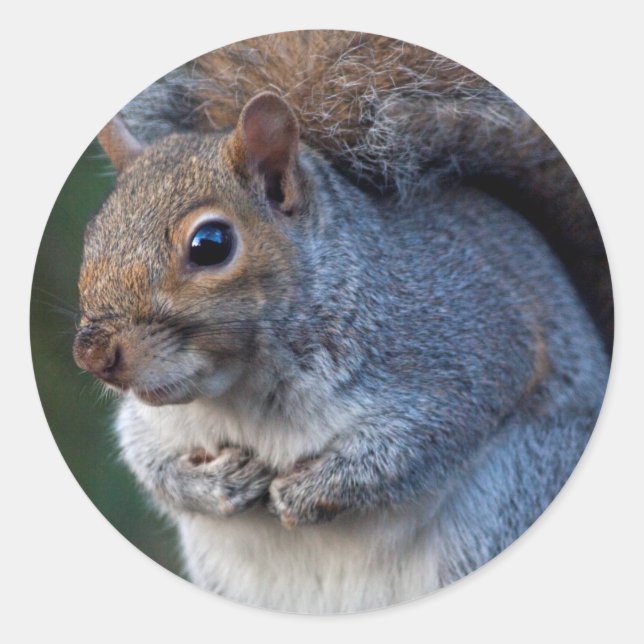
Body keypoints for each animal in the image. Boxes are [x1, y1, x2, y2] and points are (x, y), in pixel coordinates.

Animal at [72, 31, 611, 613]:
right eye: (92, 233)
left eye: (210, 244)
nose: (93, 354)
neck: (242, 392)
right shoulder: (155, 422)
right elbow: (146, 459)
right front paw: (218, 485)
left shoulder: (469, 345)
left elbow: (420, 443)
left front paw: (306, 492)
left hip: (512, 492)